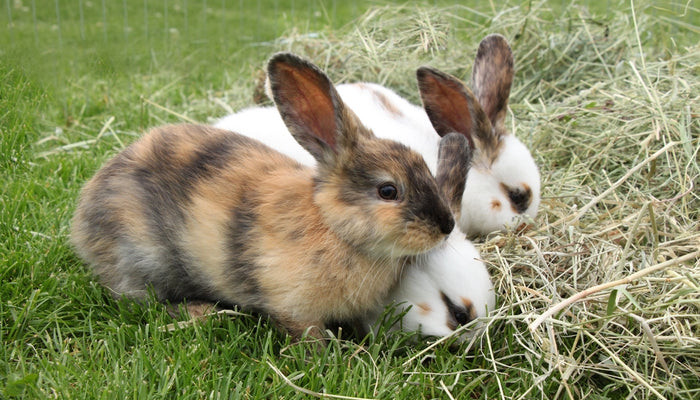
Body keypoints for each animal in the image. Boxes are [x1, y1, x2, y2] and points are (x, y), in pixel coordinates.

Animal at [71, 52, 454, 340]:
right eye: (388, 191)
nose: (446, 225)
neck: (333, 226)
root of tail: (84, 213)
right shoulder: (294, 305)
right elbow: (306, 333)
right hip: (140, 258)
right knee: (138, 301)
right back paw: (201, 311)